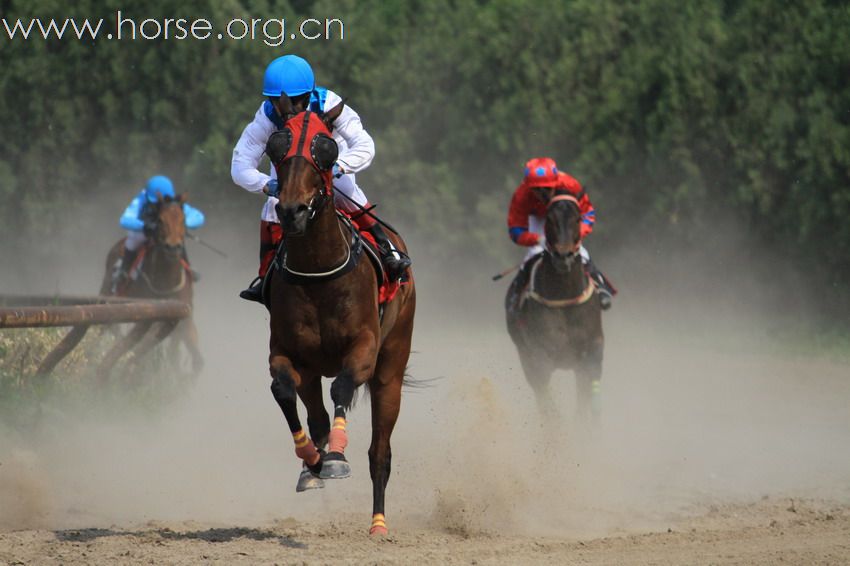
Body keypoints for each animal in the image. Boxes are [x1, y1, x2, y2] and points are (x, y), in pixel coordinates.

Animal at [99, 195, 202, 378]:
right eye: (160, 220)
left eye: (183, 220)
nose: (173, 246)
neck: (166, 282)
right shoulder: (150, 314)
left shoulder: (183, 319)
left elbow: (195, 360)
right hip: (108, 294)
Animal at [262, 110, 414, 536]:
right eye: (275, 147)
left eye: (326, 151)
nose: (291, 211)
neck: (318, 271)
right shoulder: (287, 353)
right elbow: (283, 389)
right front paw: (313, 459)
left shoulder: (364, 348)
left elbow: (343, 386)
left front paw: (335, 457)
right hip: (313, 371)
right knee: (316, 416)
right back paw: (312, 462)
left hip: (391, 368)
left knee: (380, 451)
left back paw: (378, 523)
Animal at [504, 191, 604, 422]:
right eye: (549, 219)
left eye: (577, 218)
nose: (563, 256)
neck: (564, 295)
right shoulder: (538, 356)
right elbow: (548, 405)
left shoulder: (592, 347)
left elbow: (585, 398)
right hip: (525, 356)